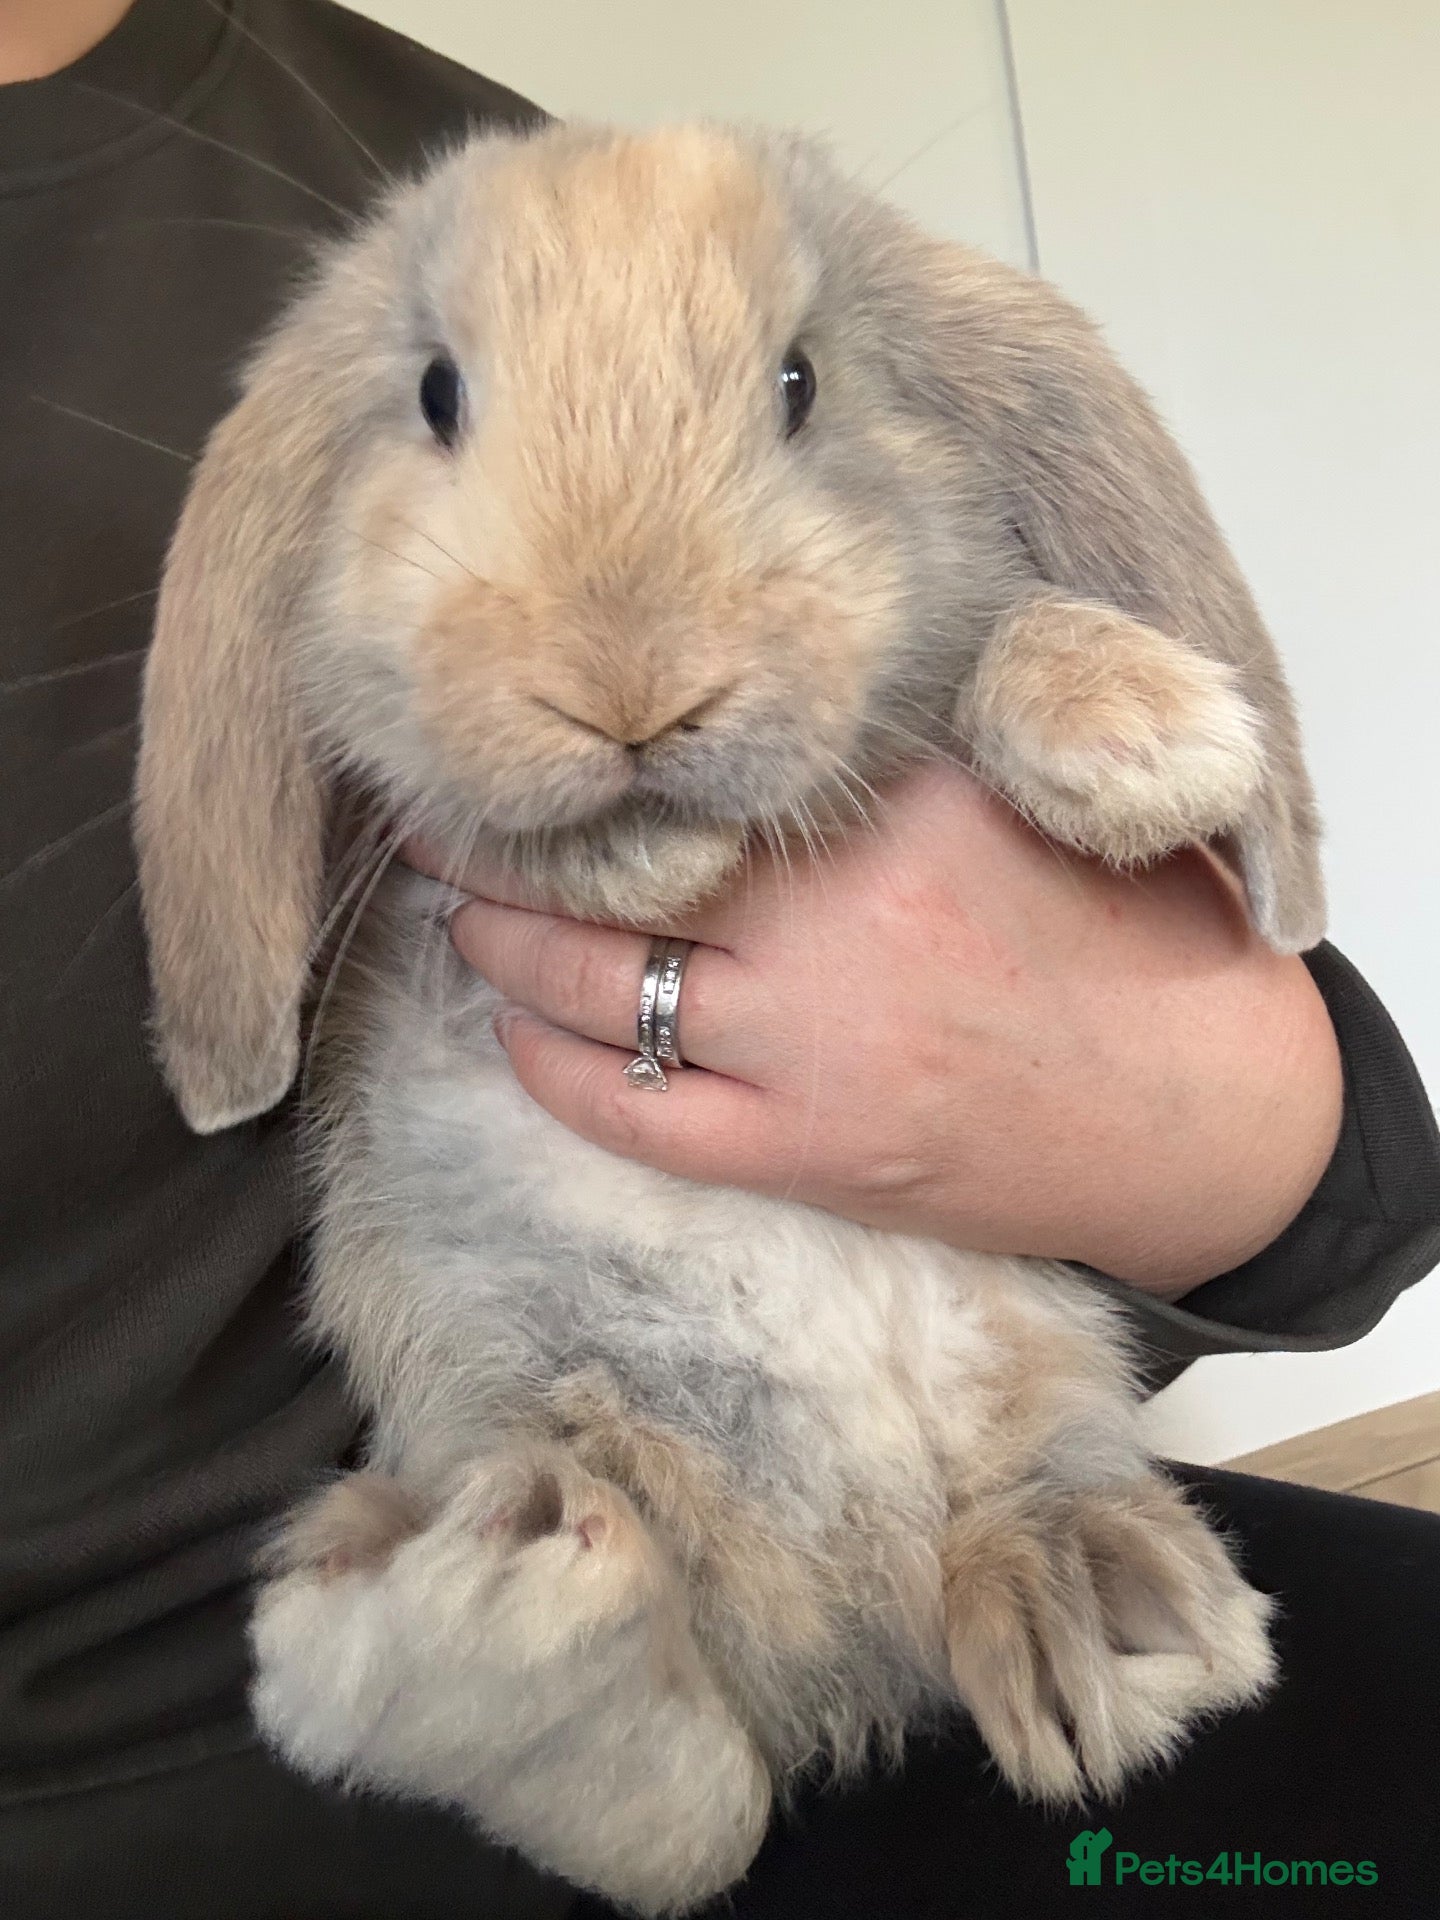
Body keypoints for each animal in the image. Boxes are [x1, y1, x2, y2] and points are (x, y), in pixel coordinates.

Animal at [134, 122, 1323, 1914]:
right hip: (526, 1420)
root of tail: (847, 1623)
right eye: (435, 393)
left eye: (799, 381)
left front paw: (1148, 734)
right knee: (687, 1800)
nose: (630, 683)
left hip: (1026, 1406)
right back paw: (502, 1624)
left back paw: (1102, 1619)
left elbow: (991, 641)